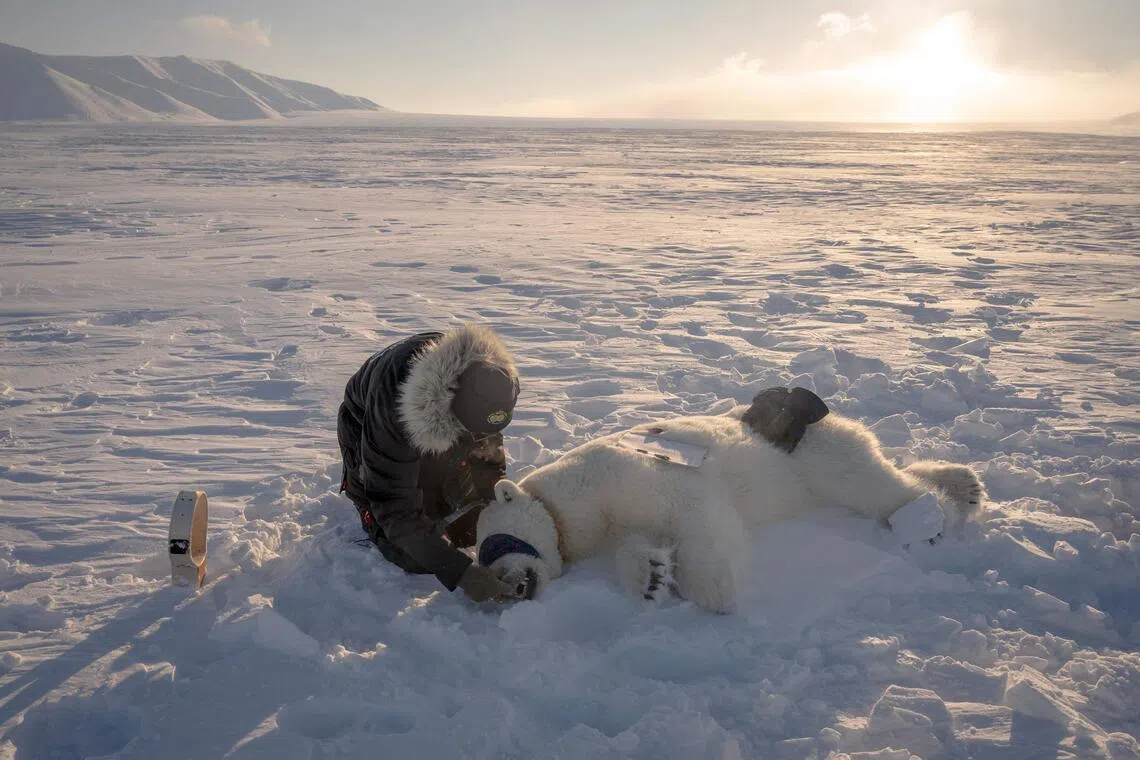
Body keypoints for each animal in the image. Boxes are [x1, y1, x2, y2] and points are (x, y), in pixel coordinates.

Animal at [475, 387, 986, 614]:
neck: (568, 503)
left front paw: (715, 590)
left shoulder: (621, 474)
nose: (512, 589)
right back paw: (966, 484)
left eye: (491, 545)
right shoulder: (609, 522)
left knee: (867, 483)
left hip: (810, 454)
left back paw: (929, 517)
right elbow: (637, 543)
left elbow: (696, 510)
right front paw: (652, 578)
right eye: (483, 559)